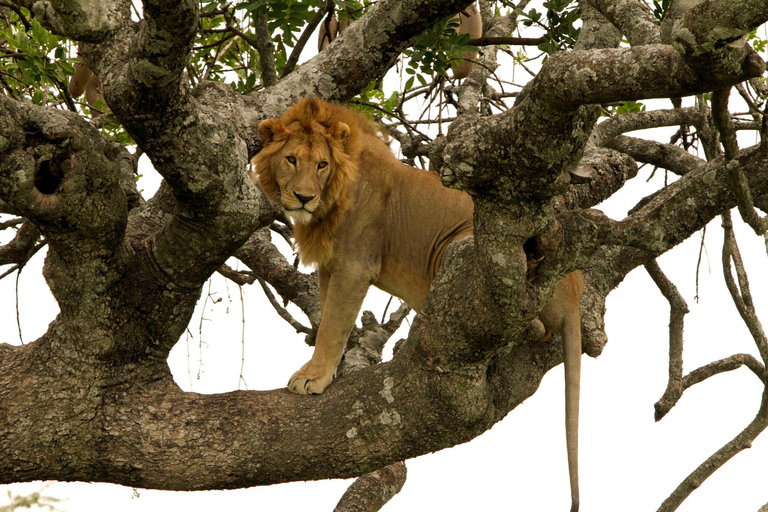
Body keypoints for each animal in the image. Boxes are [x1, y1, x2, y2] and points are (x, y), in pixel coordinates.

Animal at [252, 97, 584, 512]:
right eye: (292, 160)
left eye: (321, 165)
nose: (304, 198)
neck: (333, 197)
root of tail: (574, 289)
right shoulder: (331, 267)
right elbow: (329, 320)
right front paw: (325, 369)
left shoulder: (355, 265)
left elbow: (332, 327)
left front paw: (314, 377)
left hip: (462, 244)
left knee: (529, 325)